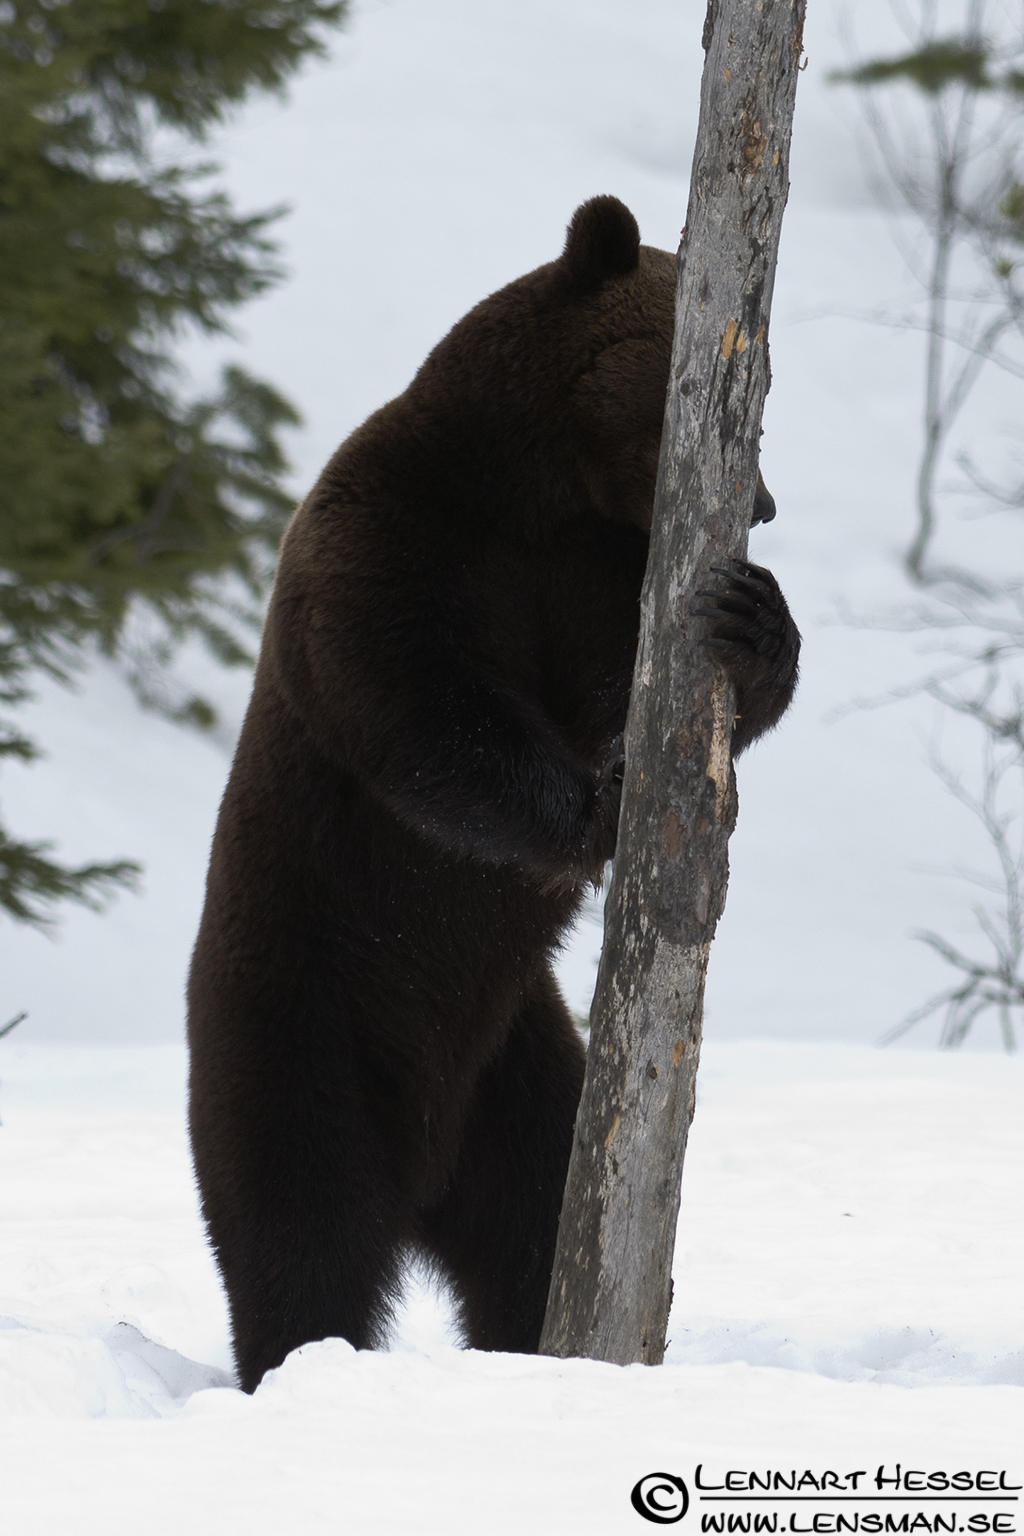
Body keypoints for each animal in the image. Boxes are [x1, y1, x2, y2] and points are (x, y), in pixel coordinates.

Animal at [187, 195, 800, 1393]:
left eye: (764, 397)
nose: (760, 504)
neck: (541, 490)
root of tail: (423, 1166)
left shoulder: (601, 576)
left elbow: (651, 684)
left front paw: (755, 624)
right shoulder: (403, 537)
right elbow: (426, 708)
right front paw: (595, 807)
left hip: (513, 1060)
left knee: (534, 1214)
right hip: (300, 1021)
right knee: (298, 1228)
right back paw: (301, 1360)